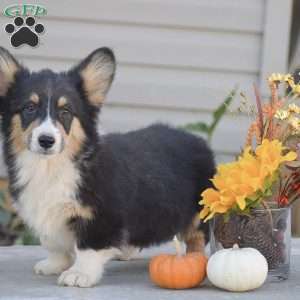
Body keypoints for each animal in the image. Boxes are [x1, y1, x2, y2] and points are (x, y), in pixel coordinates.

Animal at [0, 45, 216, 288]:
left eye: (66, 112)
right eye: (29, 108)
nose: (46, 140)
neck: (50, 166)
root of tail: (197, 140)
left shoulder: (101, 217)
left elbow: (88, 248)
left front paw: (79, 274)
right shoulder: (46, 215)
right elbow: (53, 243)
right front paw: (54, 264)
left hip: (199, 210)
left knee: (197, 238)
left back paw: (194, 259)